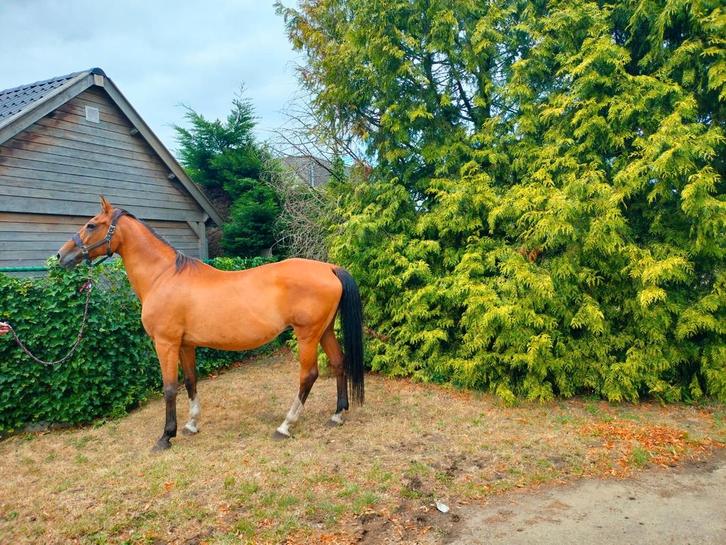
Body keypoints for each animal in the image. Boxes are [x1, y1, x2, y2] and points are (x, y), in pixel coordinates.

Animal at [56, 196, 364, 451]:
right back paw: (337, 415)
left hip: (307, 335)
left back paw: (285, 426)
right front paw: (191, 425)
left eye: (91, 225)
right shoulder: (185, 344)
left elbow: (169, 387)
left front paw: (166, 436)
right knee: (339, 362)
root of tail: (329, 268)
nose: (61, 256)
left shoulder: (165, 344)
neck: (163, 276)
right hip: (324, 331)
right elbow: (190, 381)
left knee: (308, 375)